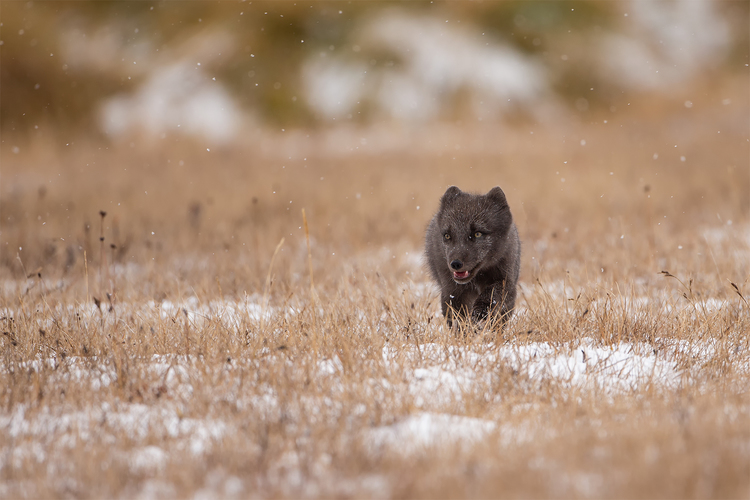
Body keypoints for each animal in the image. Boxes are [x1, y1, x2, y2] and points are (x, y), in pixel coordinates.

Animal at [424, 186, 524, 326]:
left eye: (477, 234)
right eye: (447, 235)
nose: (455, 264)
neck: (478, 277)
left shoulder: (506, 281)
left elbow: (491, 294)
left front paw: (480, 314)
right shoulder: (451, 291)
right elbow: (457, 317)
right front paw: (466, 330)